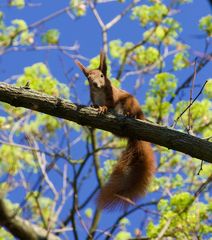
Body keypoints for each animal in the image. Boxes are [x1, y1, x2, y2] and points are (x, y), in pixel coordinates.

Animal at [75, 51, 155, 209]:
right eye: (88, 78)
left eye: (101, 76)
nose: (95, 84)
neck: (99, 93)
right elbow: (94, 104)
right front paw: (95, 107)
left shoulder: (113, 96)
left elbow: (109, 104)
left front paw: (103, 108)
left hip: (129, 102)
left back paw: (130, 115)